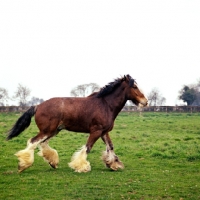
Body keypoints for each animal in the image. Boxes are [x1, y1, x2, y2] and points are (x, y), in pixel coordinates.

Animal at [6, 74, 148, 173]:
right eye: (134, 86)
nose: (145, 102)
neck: (106, 105)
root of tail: (38, 106)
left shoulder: (104, 132)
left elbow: (110, 147)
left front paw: (113, 164)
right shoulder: (96, 131)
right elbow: (87, 147)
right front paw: (81, 166)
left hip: (54, 130)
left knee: (43, 143)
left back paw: (53, 163)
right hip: (47, 130)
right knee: (33, 142)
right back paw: (23, 165)